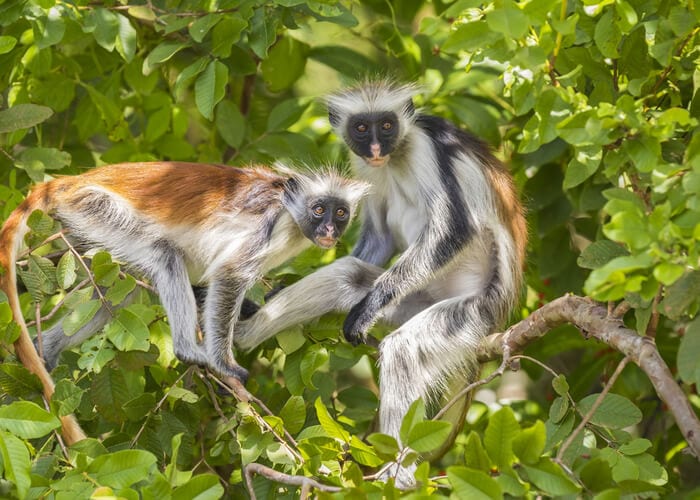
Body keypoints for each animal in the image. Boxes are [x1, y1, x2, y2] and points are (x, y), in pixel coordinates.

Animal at [0, 161, 368, 444]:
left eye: (340, 212)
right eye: (318, 209)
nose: (330, 229)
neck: (289, 211)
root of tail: (68, 182)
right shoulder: (267, 226)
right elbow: (229, 274)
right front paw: (224, 365)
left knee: (118, 294)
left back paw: (45, 348)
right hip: (93, 207)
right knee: (164, 255)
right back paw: (188, 350)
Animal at [234, 81, 527, 487]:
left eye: (387, 126)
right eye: (361, 128)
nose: (375, 148)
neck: (396, 155)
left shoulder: (425, 147)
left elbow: (455, 229)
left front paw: (369, 307)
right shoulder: (364, 167)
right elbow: (379, 236)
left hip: (473, 310)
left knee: (404, 349)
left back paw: (399, 476)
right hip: (415, 299)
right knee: (348, 275)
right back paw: (241, 333)